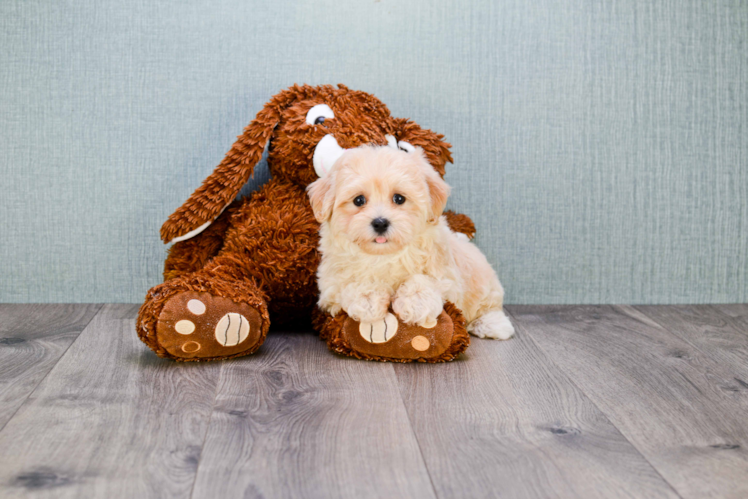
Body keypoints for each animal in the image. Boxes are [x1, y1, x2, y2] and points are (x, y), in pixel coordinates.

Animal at [306, 145, 516, 340]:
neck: (384, 255)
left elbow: (423, 280)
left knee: (489, 307)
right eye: (359, 200)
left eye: (399, 198)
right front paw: (368, 300)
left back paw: (491, 325)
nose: (380, 223)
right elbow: (352, 283)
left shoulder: (447, 277)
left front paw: (415, 303)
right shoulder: (329, 287)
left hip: (485, 285)